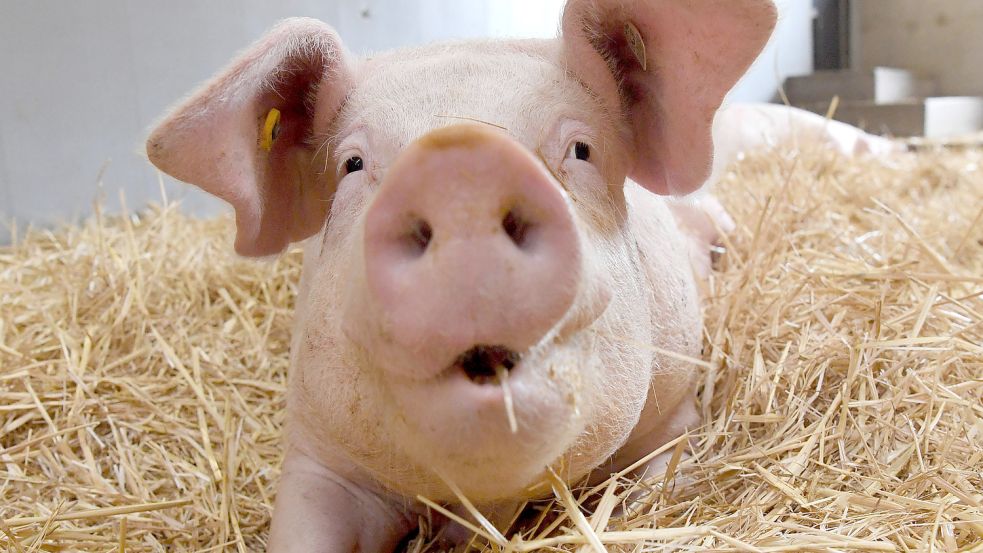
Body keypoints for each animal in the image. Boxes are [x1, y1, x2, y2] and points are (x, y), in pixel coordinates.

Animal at [145, 1, 777, 550]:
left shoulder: (675, 406)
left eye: (581, 149)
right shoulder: (318, 452)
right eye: (352, 164)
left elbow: (659, 484)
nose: (460, 163)